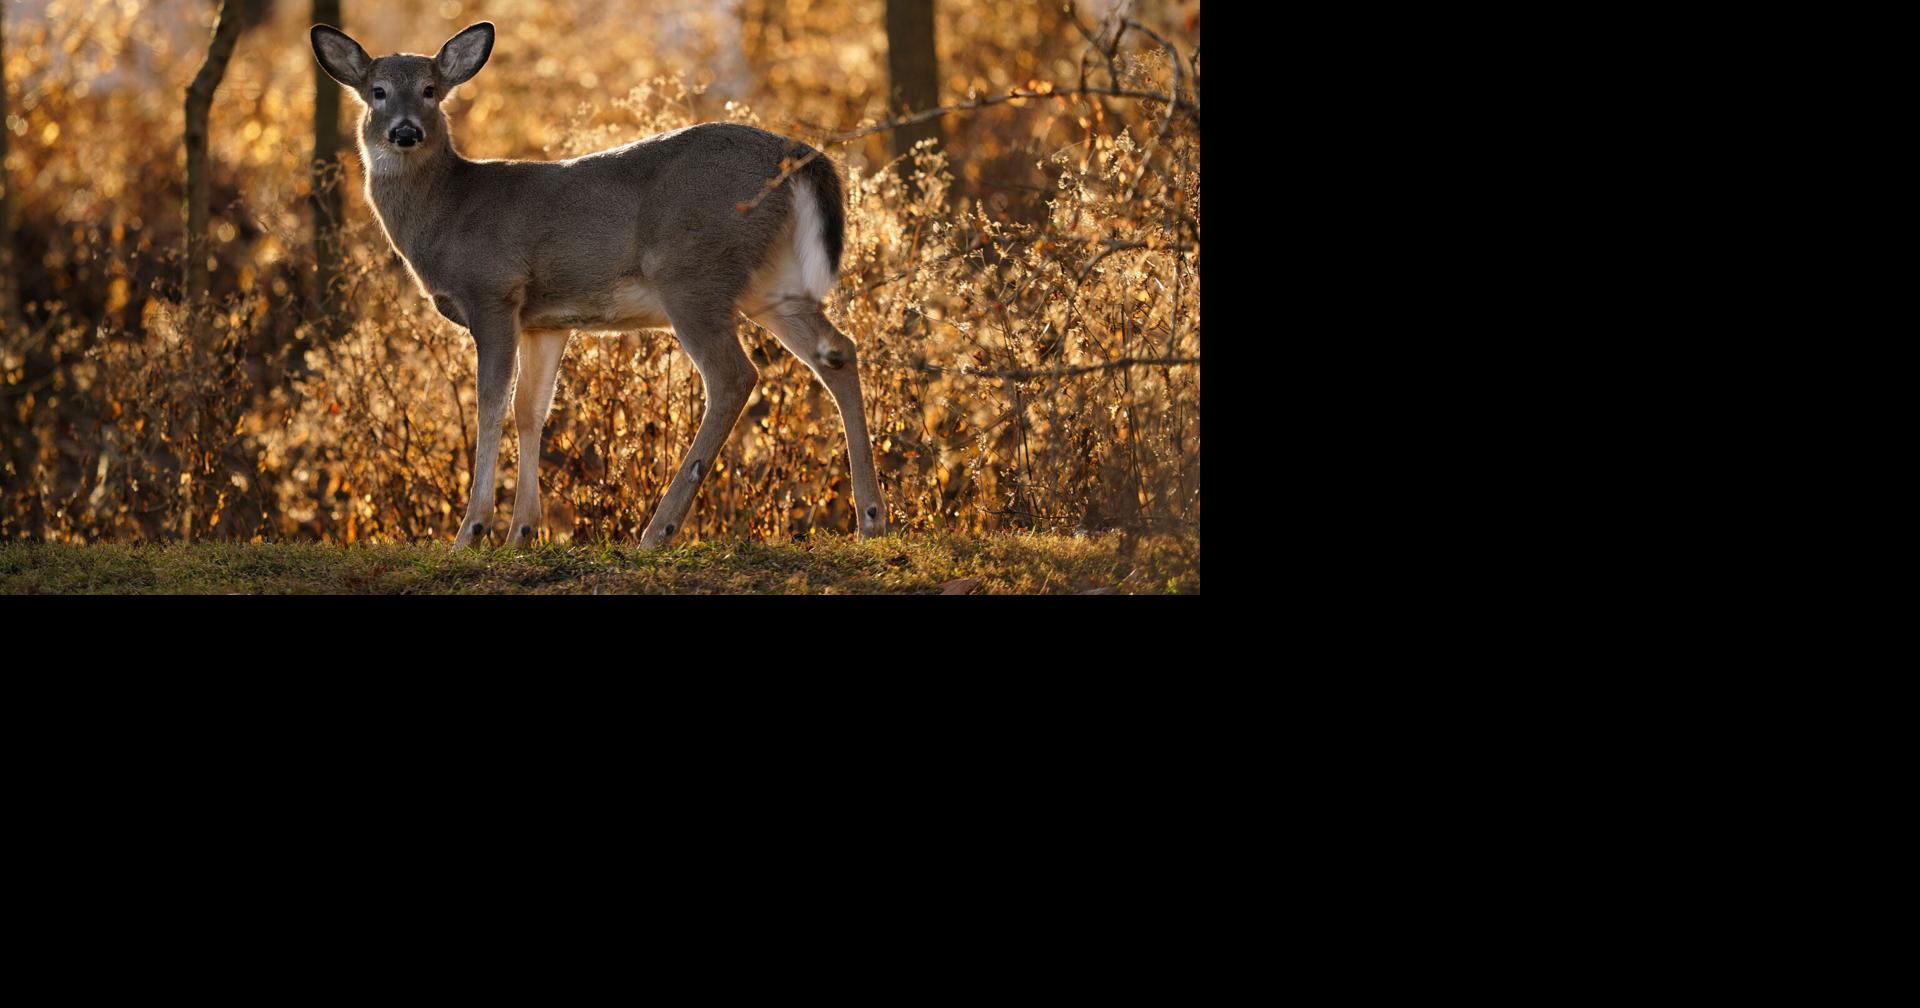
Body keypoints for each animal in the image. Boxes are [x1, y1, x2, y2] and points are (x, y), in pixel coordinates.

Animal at [310, 21, 886, 550]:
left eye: (430, 89)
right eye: (377, 91)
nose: (405, 131)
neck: (449, 211)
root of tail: (800, 155)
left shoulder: (493, 292)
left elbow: (489, 406)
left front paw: (470, 532)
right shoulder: (544, 321)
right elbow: (530, 411)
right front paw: (522, 533)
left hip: (691, 271)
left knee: (733, 376)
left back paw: (658, 531)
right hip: (772, 283)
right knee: (838, 350)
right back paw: (872, 517)